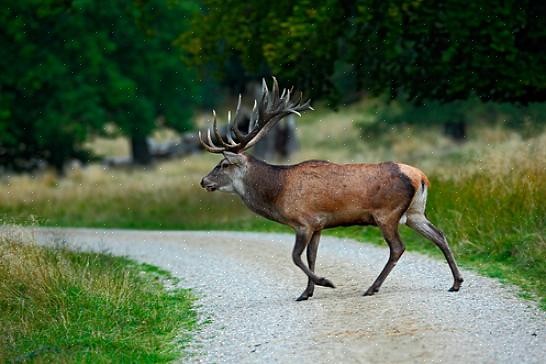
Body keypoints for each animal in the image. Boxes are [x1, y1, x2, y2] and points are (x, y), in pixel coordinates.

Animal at [198, 77, 462, 302]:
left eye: (223, 165)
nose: (203, 181)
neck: (278, 193)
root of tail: (421, 177)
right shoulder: (318, 225)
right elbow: (311, 256)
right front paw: (306, 292)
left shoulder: (303, 221)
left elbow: (296, 257)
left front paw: (325, 282)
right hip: (415, 212)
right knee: (439, 235)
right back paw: (456, 282)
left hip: (387, 213)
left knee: (398, 247)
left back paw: (372, 287)